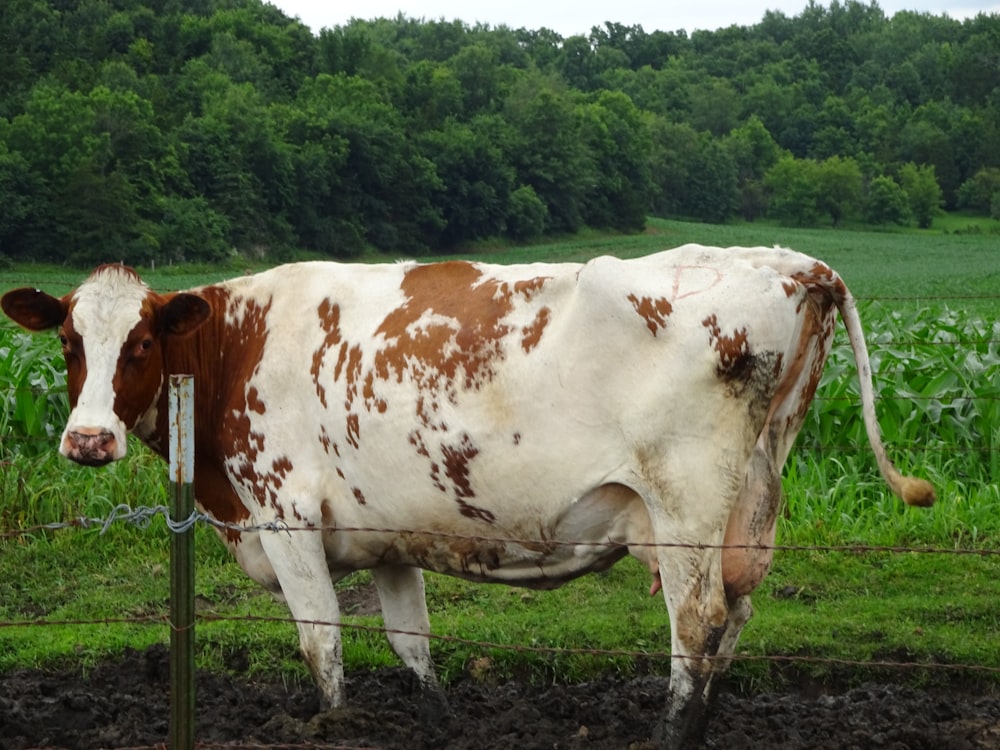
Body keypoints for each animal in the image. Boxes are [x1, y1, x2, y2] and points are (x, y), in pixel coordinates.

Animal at [1, 245, 936, 748]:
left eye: (141, 343)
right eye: (69, 343)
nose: (87, 440)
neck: (237, 345)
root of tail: (788, 260)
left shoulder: (286, 514)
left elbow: (322, 641)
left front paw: (334, 724)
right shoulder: (386, 533)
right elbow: (411, 645)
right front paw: (436, 720)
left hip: (686, 506)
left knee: (698, 623)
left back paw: (671, 733)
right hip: (753, 499)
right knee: (734, 617)